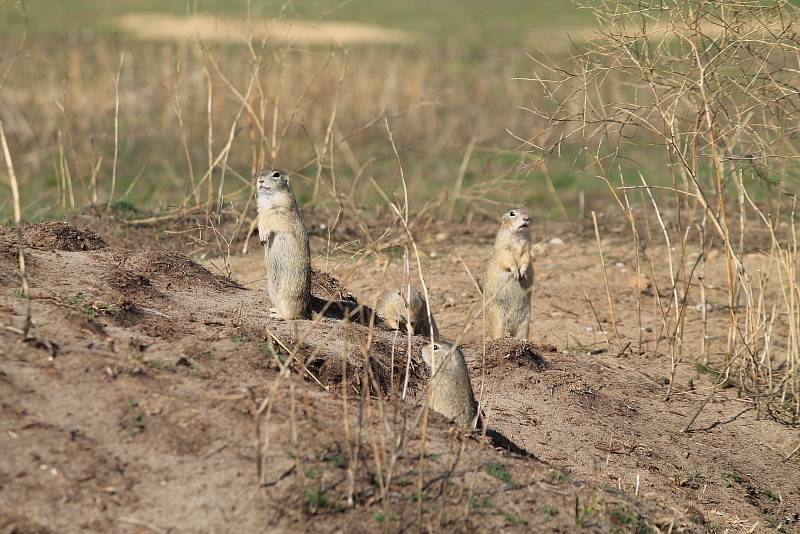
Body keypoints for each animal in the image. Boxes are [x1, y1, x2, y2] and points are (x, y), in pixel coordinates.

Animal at [256, 169, 310, 318]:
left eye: (276, 174)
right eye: (261, 172)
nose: (260, 180)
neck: (268, 200)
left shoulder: (282, 210)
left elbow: (274, 222)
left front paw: (264, 236)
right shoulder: (261, 212)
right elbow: (260, 222)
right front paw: (261, 238)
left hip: (288, 294)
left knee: (291, 316)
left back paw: (277, 315)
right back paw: (274, 309)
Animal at [482, 208, 532, 340]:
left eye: (527, 212)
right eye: (512, 213)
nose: (527, 218)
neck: (518, 236)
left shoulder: (528, 247)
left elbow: (526, 258)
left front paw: (523, 272)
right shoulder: (503, 247)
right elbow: (507, 259)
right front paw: (516, 272)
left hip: (525, 321)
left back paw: (523, 340)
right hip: (499, 318)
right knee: (497, 333)